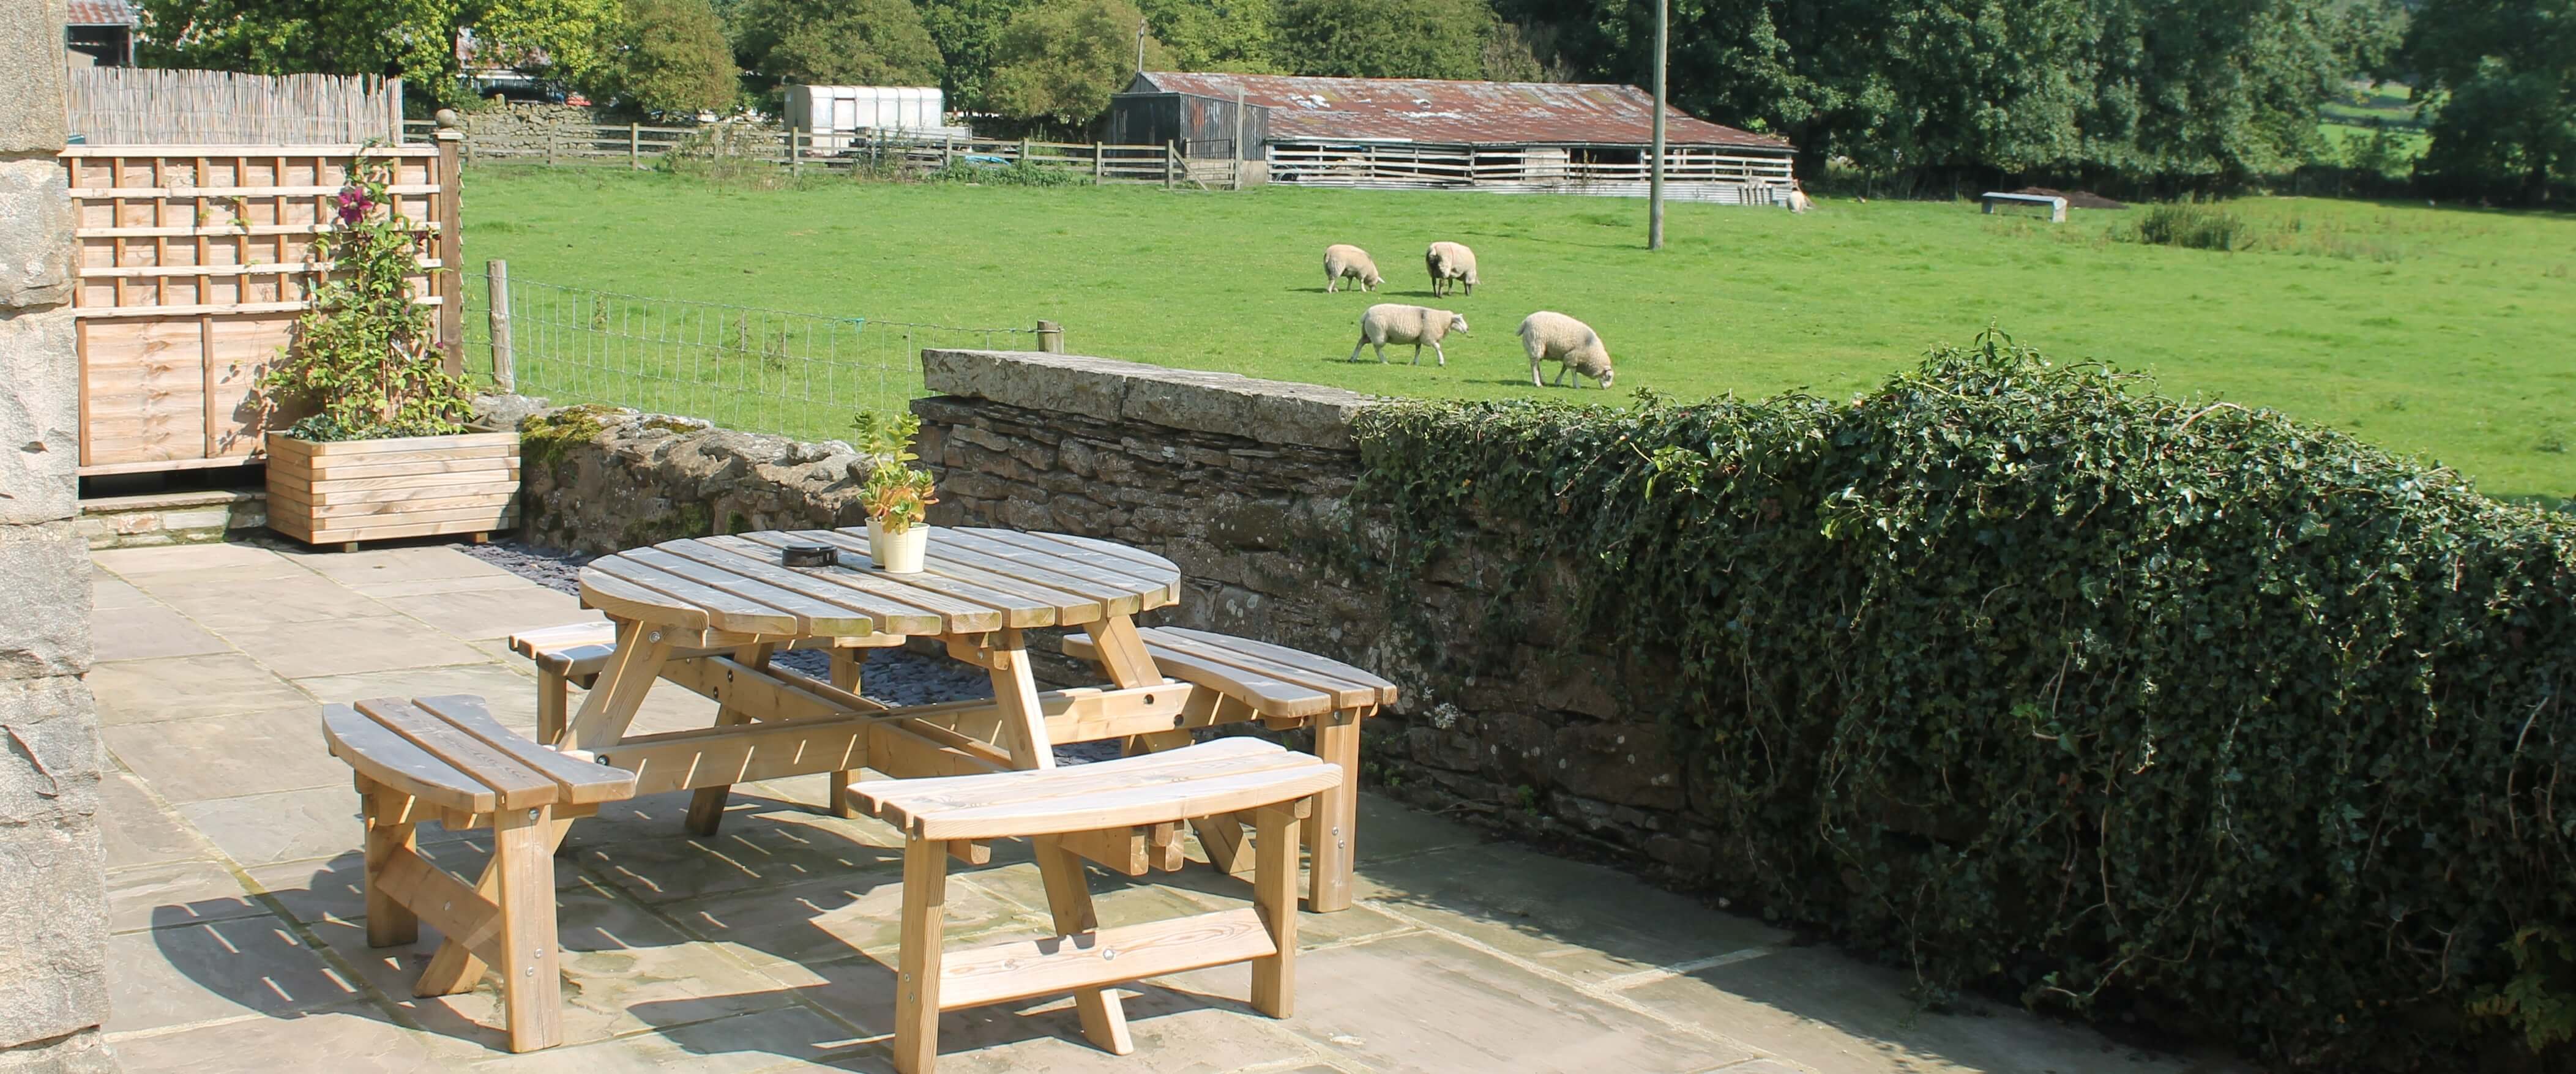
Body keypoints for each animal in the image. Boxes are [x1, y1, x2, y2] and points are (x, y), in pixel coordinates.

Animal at [1350, 304, 1473, 365]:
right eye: (1459, 321)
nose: (1467, 329)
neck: (1443, 321)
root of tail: (1367, 314)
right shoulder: (1429, 337)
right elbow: (1438, 348)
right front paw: (1441, 362)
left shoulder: (1419, 338)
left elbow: (1418, 351)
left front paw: (1416, 362)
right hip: (1378, 333)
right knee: (1377, 348)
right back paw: (1384, 361)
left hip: (1368, 333)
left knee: (1360, 343)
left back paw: (1353, 358)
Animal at [1514, 309, 1618, 389]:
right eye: (1609, 376)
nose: (1607, 388)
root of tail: (1526, 321)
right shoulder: (1573, 357)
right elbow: (1573, 372)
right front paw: (1577, 385)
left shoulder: (1568, 355)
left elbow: (1564, 368)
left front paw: (1558, 381)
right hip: (1536, 344)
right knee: (1534, 365)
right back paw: (1538, 383)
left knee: (1536, 363)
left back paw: (1541, 381)